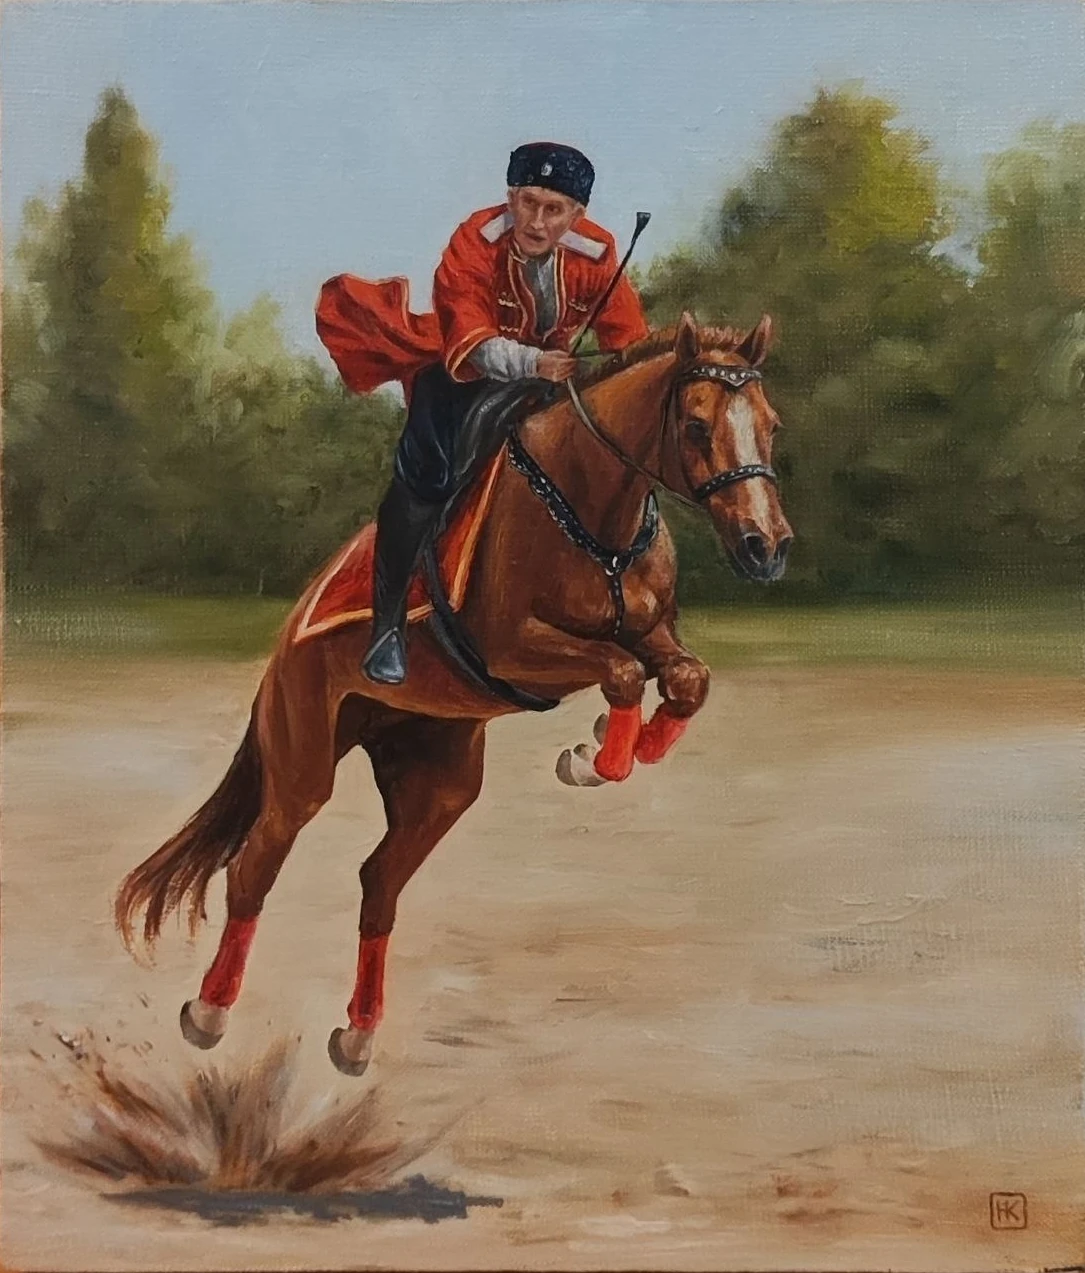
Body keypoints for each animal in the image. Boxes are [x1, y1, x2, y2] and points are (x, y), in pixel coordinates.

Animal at [115, 311, 793, 1076]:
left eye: (771, 424)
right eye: (698, 426)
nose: (765, 545)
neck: (592, 515)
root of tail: (287, 636)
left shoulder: (652, 633)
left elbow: (685, 679)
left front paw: (602, 747)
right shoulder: (514, 649)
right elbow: (620, 672)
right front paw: (591, 758)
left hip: (439, 781)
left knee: (379, 883)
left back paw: (358, 1033)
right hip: (302, 767)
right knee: (254, 868)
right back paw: (209, 1011)